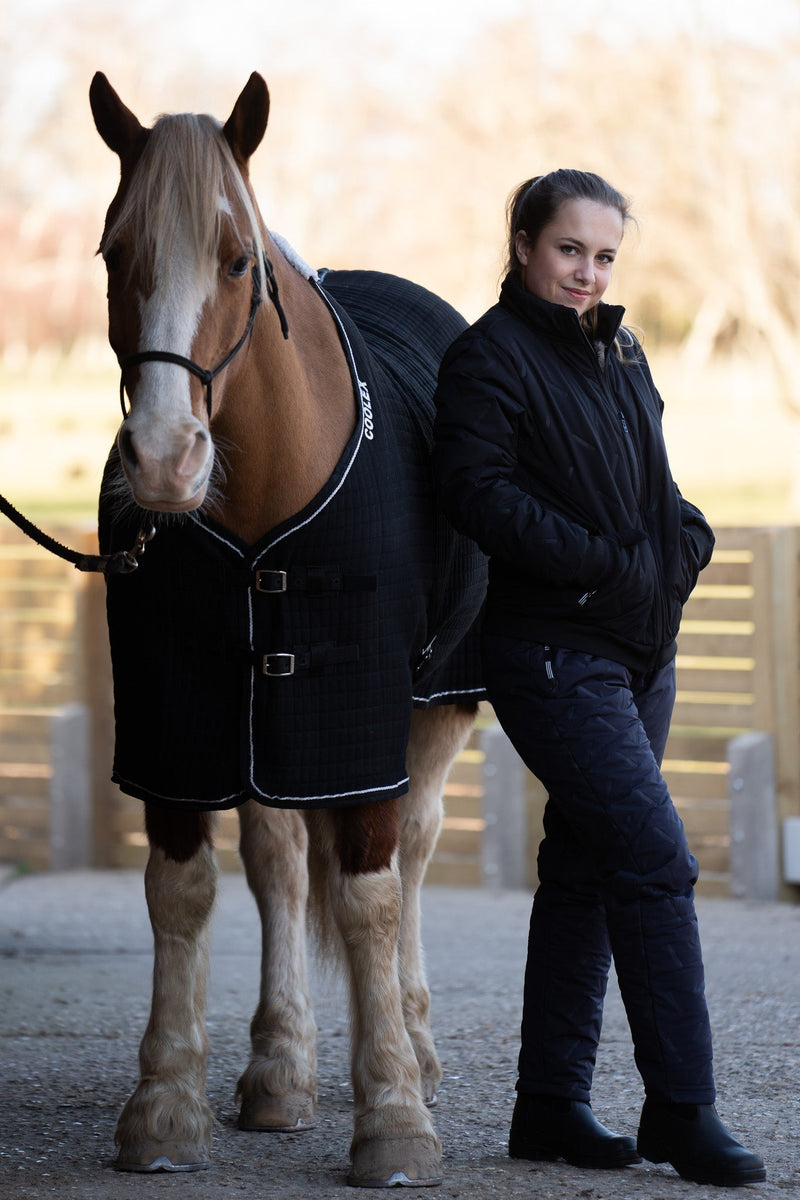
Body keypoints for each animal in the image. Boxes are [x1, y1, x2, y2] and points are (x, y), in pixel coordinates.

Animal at [88, 70, 489, 1185]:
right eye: (114, 253)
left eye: (237, 258)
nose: (162, 460)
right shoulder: (179, 719)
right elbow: (184, 891)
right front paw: (164, 1105)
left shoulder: (355, 722)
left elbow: (369, 896)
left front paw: (393, 1113)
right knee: (276, 863)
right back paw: (283, 1067)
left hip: (431, 712)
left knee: (413, 853)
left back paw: (412, 1038)